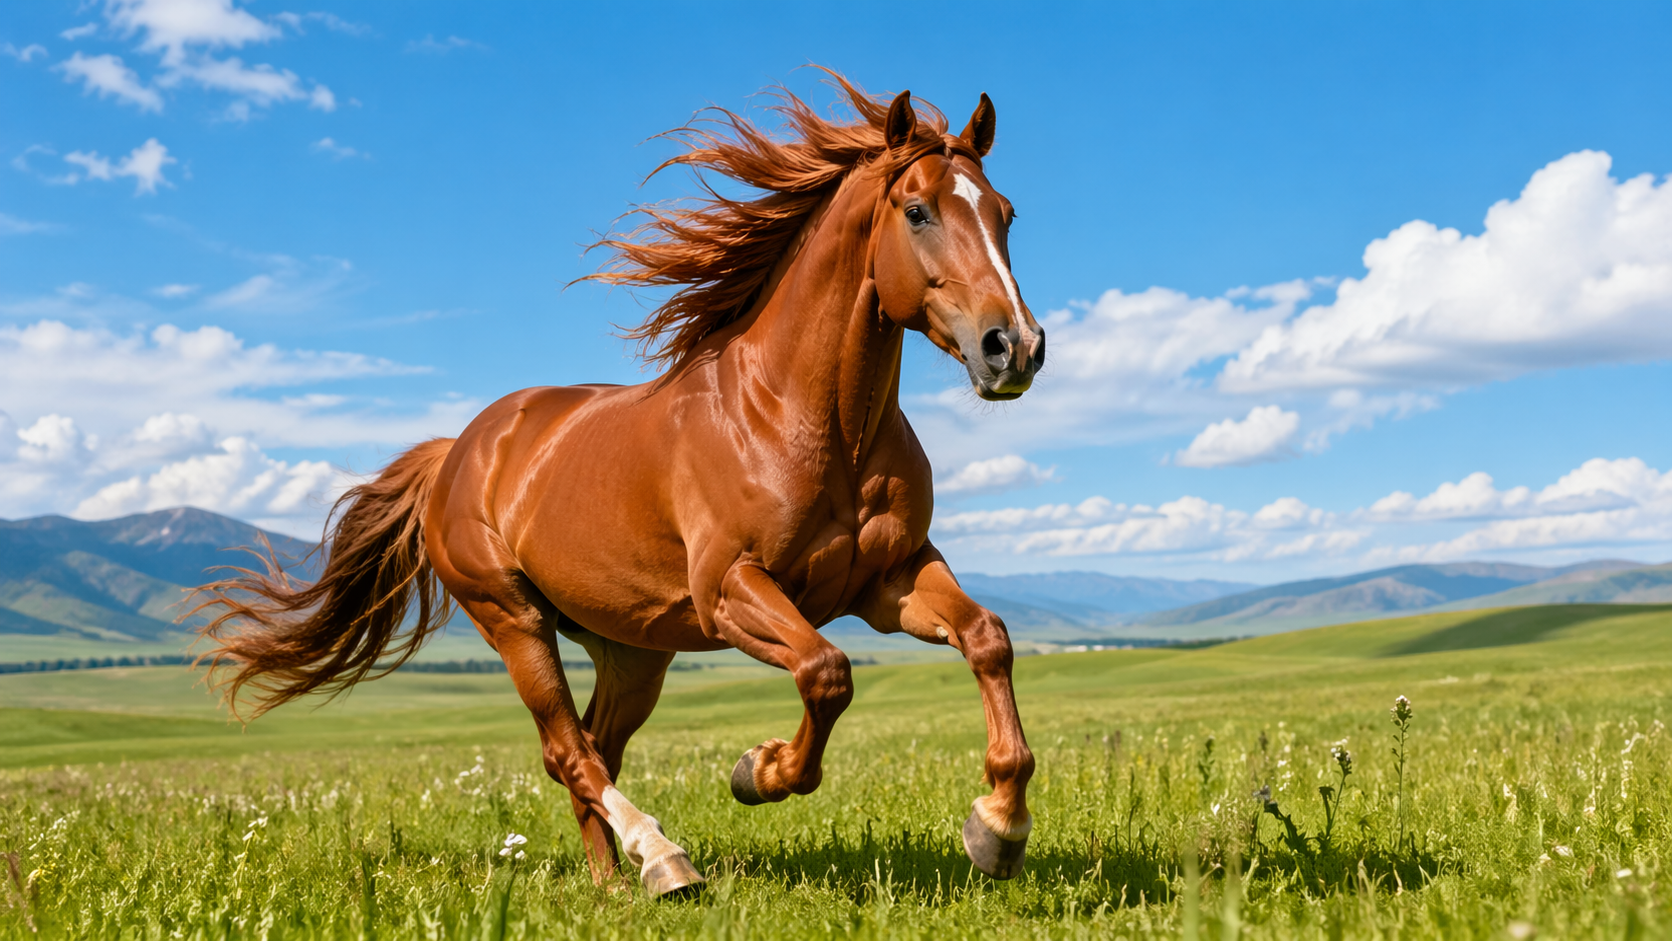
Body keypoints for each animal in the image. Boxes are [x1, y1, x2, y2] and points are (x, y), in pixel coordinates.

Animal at [191, 72, 1047, 898]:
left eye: (1004, 213)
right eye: (917, 210)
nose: (1014, 347)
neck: (806, 421)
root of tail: (459, 449)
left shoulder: (888, 579)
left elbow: (988, 638)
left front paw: (997, 829)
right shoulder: (731, 589)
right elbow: (826, 673)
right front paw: (758, 769)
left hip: (635, 650)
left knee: (594, 748)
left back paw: (614, 878)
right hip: (513, 618)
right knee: (571, 751)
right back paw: (662, 858)